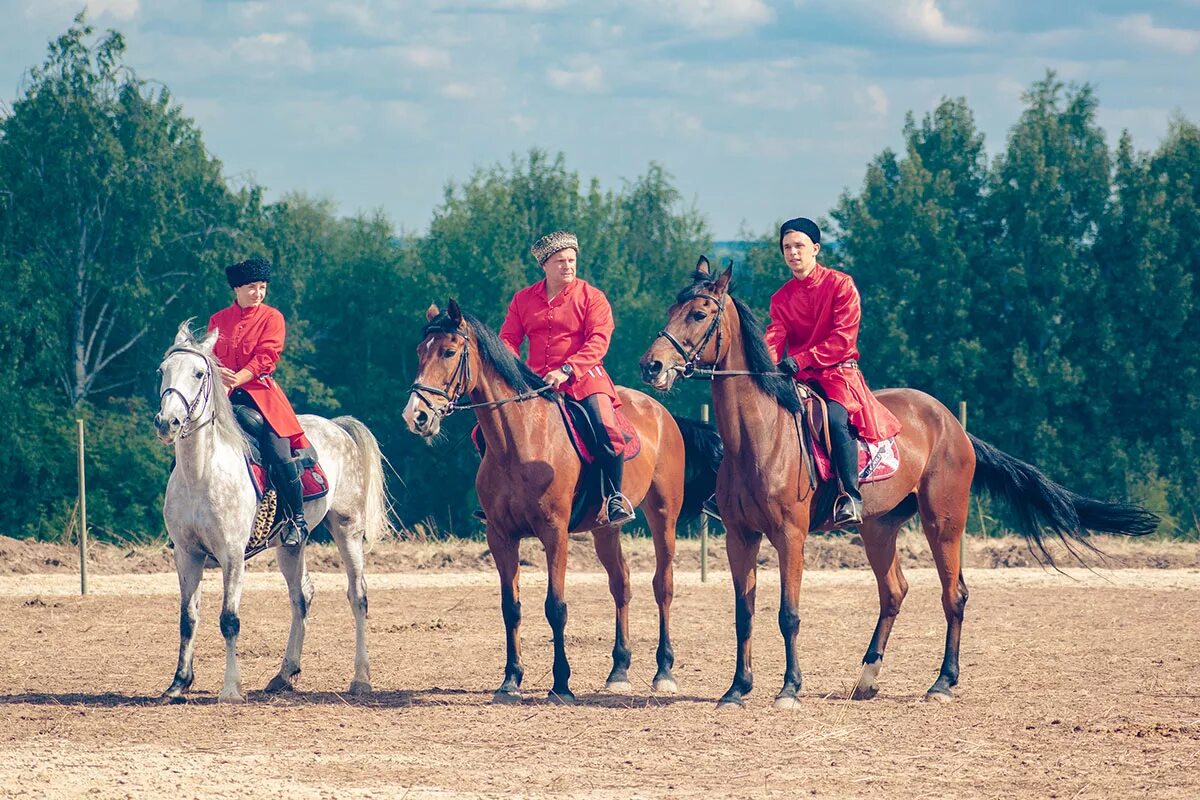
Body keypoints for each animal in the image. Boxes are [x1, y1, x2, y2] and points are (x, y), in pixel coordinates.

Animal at [154, 321, 393, 705]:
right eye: (162, 371)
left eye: (199, 373)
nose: (167, 422)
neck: (202, 471)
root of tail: (337, 426)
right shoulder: (187, 555)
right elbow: (188, 619)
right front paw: (178, 683)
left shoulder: (232, 555)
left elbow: (229, 620)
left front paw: (231, 689)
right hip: (290, 545)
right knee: (301, 597)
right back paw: (284, 673)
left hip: (347, 529)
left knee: (358, 596)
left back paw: (360, 679)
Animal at [403, 302, 720, 705]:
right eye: (419, 352)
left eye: (447, 351)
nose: (416, 416)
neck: (520, 440)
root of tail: (663, 414)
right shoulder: (500, 536)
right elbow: (510, 607)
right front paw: (510, 680)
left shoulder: (555, 533)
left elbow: (555, 607)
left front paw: (561, 684)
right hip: (605, 530)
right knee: (621, 584)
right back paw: (619, 670)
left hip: (663, 515)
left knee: (662, 586)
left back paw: (663, 671)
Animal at [638, 260, 1152, 710]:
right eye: (670, 309)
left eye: (698, 313)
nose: (651, 366)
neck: (760, 435)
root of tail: (953, 425)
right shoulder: (739, 537)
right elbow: (744, 614)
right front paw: (736, 689)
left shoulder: (790, 536)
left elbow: (788, 614)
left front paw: (789, 690)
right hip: (878, 527)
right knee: (894, 592)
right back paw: (867, 678)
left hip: (943, 523)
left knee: (954, 595)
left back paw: (942, 683)